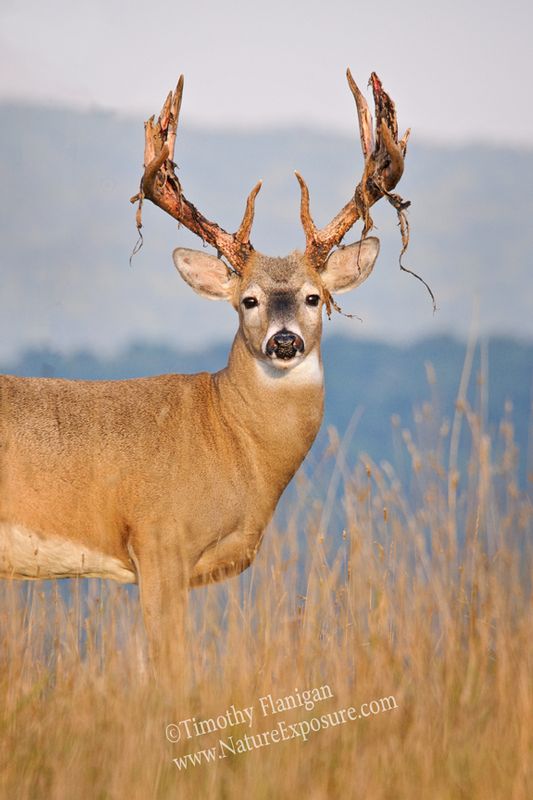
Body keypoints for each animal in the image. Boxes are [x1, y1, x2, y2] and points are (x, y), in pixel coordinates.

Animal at [0, 70, 408, 673]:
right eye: (248, 300)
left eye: (313, 297)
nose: (284, 341)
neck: (232, 442)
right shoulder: (158, 538)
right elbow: (171, 665)